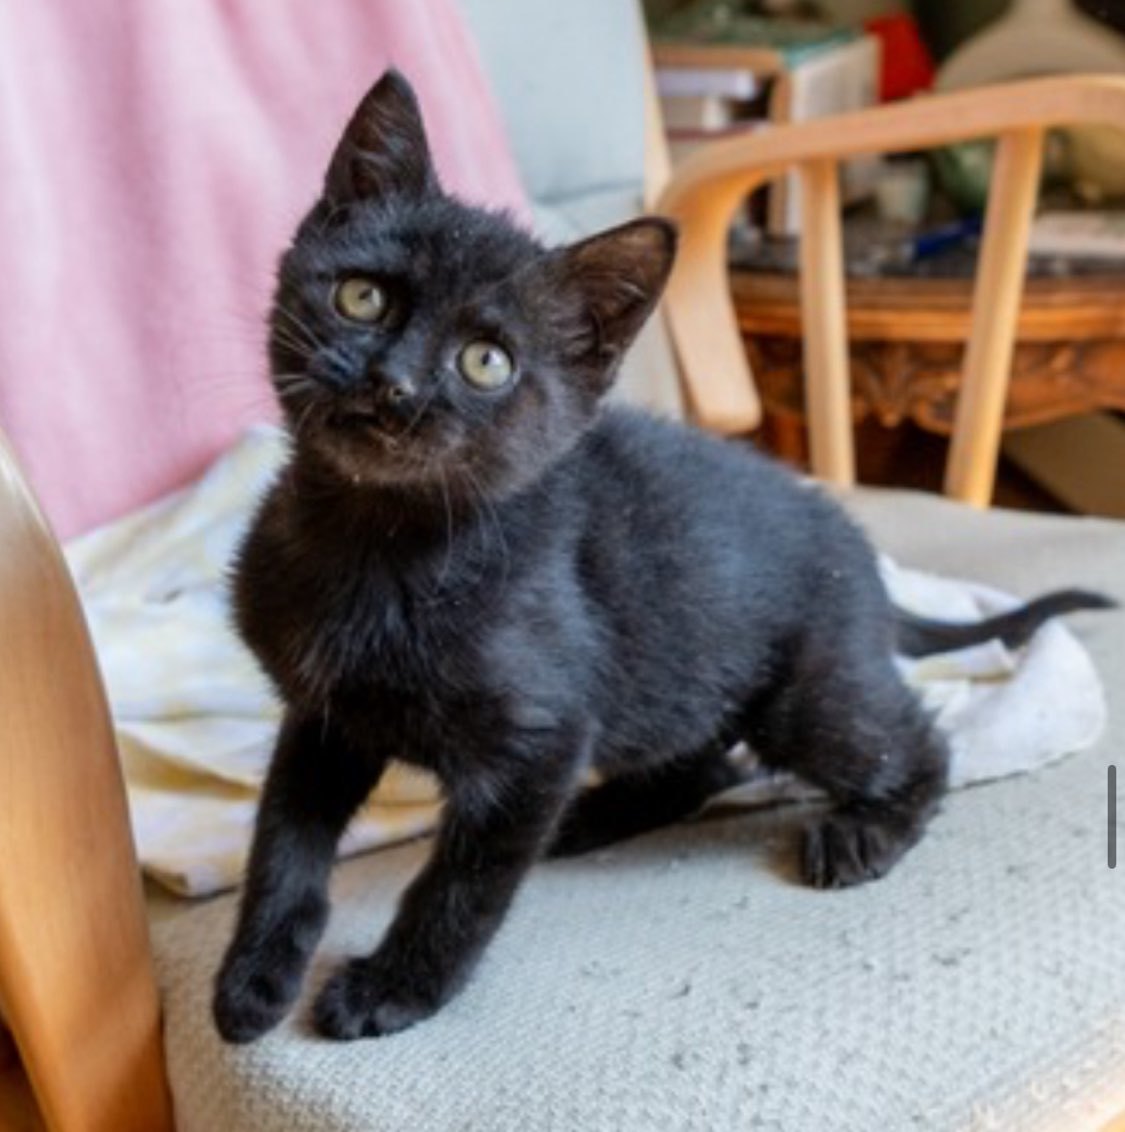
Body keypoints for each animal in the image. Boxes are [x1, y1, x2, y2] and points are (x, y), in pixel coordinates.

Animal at [215, 70, 1109, 1041]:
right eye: (362, 298)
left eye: (487, 362)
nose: (395, 387)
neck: (375, 545)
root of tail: (859, 552)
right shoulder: (324, 716)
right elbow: (282, 844)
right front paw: (253, 978)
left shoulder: (541, 738)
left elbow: (461, 882)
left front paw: (393, 989)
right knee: (709, 761)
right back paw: (597, 814)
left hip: (804, 693)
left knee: (911, 744)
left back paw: (859, 831)